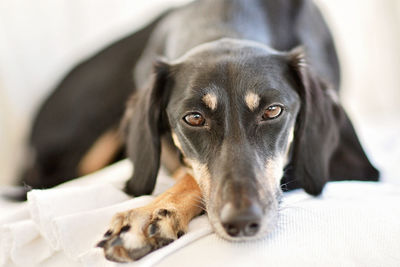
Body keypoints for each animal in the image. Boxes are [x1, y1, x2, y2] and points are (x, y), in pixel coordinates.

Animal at [21, 0, 378, 264]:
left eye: (273, 111)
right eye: (193, 118)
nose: (242, 222)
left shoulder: (350, 166)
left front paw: (151, 216)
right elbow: (189, 172)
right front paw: (151, 213)